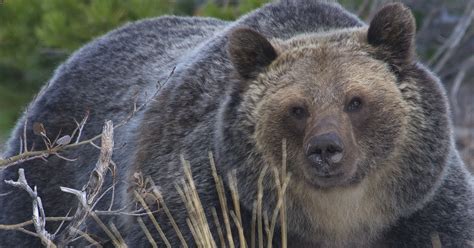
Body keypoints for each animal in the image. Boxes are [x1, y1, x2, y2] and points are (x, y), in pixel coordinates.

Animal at [0, 0, 474, 247]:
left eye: (355, 101)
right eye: (297, 108)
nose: (326, 149)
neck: (338, 219)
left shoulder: (423, 213)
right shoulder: (202, 201)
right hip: (44, 186)